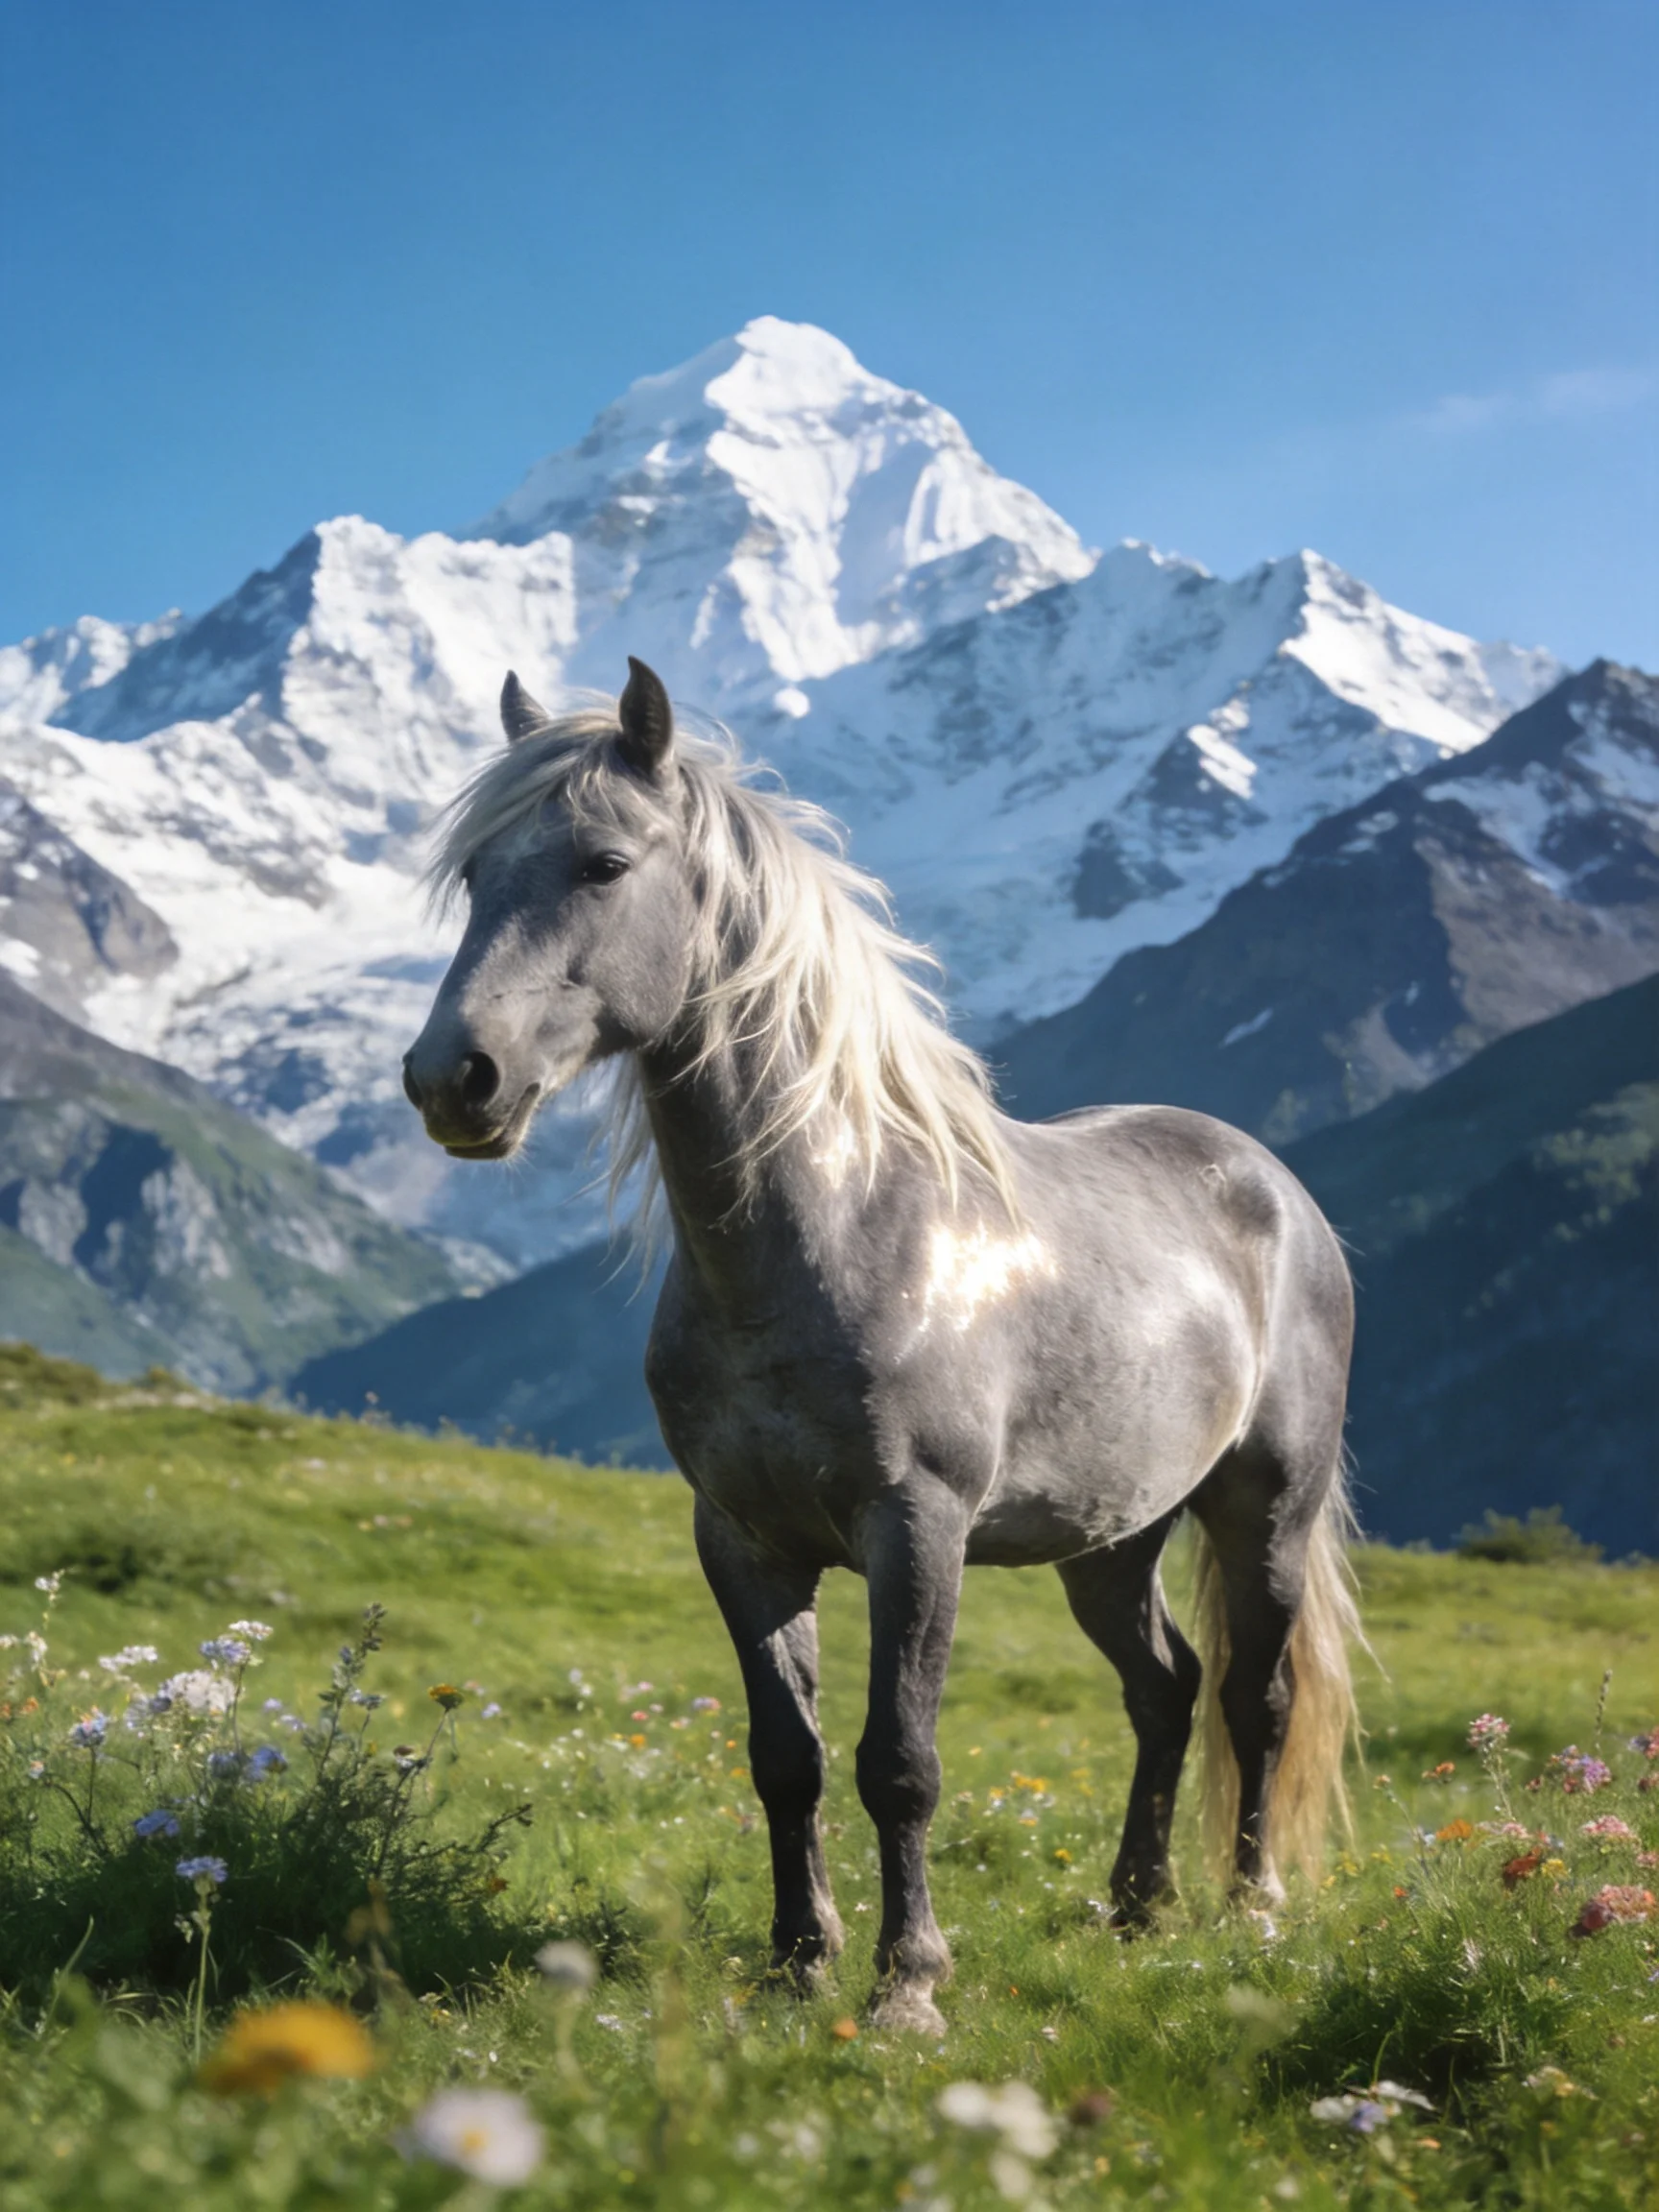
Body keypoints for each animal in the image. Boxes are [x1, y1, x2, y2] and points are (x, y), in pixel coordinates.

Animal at [403, 658, 1361, 2035]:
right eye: (478, 874)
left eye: (602, 863)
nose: (452, 1080)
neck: (834, 1237)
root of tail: (1275, 1188)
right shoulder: (741, 1541)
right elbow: (786, 1759)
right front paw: (800, 1962)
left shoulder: (918, 1528)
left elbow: (897, 1762)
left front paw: (909, 1983)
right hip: (1109, 1543)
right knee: (1165, 1690)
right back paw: (1135, 1907)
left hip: (1264, 1511)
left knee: (1254, 1699)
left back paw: (1253, 1910)